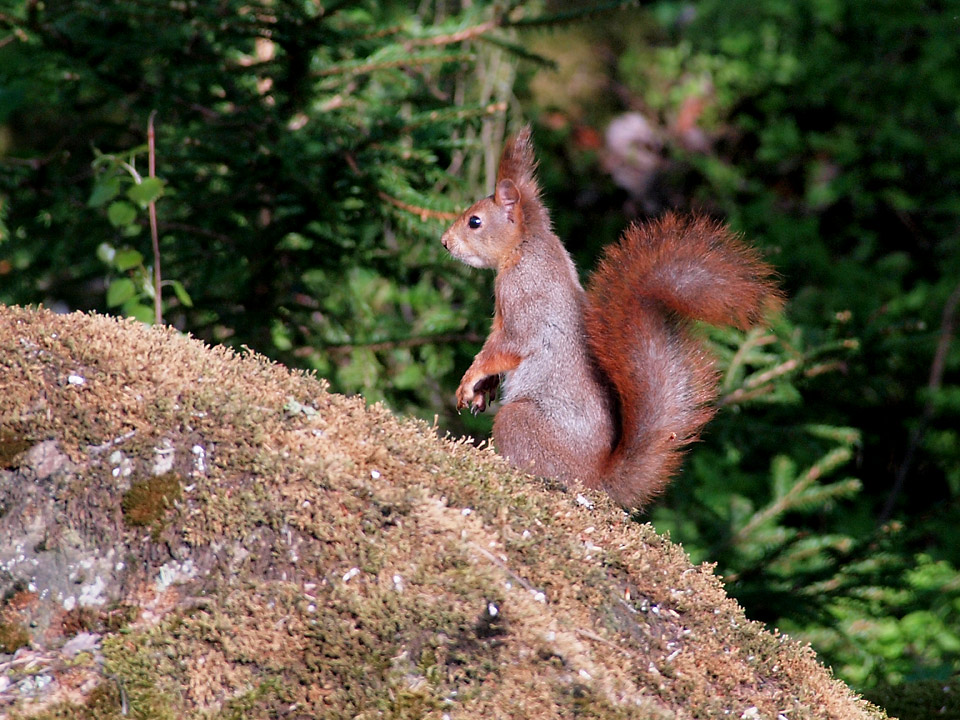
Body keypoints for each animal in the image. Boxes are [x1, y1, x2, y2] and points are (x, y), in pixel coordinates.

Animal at [442, 128, 780, 512]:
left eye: (475, 221)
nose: (444, 242)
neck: (526, 246)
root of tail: (595, 479)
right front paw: (482, 390)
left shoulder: (525, 299)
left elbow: (503, 347)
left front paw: (470, 379)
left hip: (518, 421)